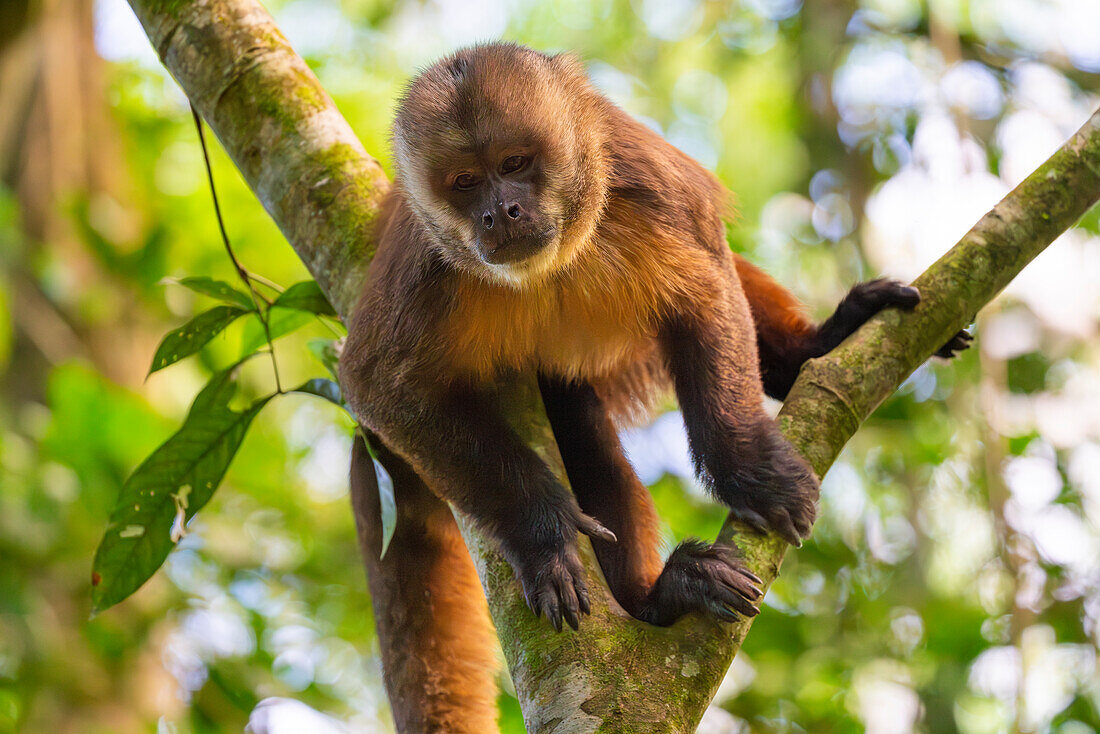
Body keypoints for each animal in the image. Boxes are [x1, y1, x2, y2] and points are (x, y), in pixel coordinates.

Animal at [338, 41, 968, 734]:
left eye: (514, 164)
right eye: (465, 183)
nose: (498, 212)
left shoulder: (644, 182)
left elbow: (705, 282)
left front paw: (749, 467)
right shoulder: (426, 267)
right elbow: (381, 387)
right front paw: (542, 534)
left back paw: (813, 350)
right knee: (578, 430)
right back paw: (659, 601)